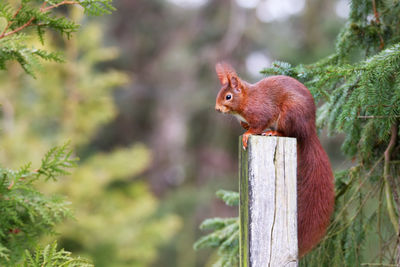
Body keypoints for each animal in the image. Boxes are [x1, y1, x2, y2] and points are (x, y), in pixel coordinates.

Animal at [216, 62, 334, 258]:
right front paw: (244, 127)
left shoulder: (261, 112)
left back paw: (273, 132)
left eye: (228, 96)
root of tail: (308, 130)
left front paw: (248, 134)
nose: (217, 109)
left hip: (289, 114)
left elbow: (258, 126)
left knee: (287, 132)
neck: (247, 99)